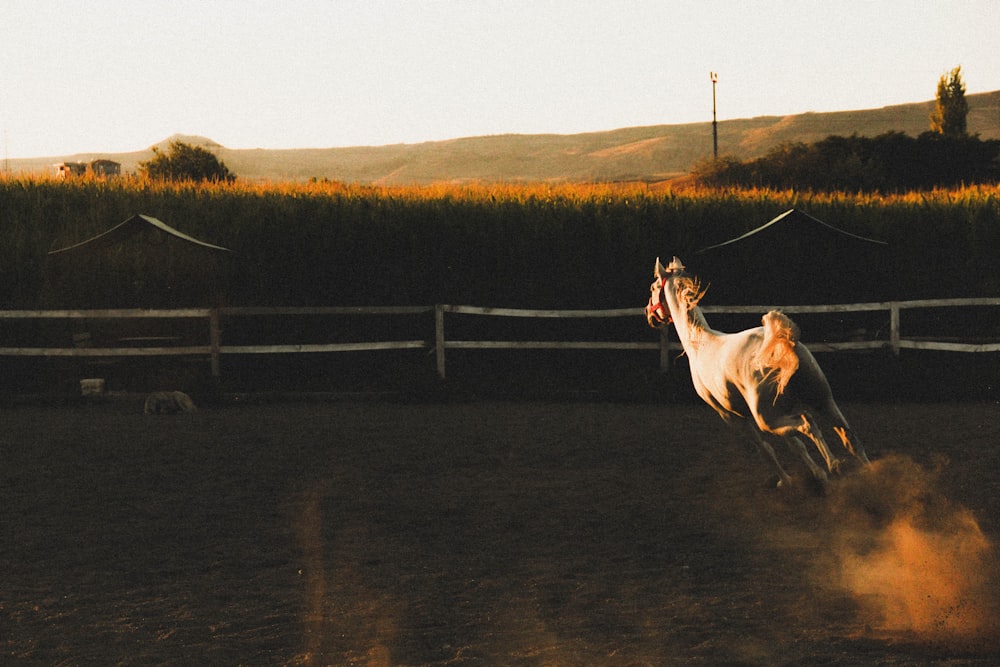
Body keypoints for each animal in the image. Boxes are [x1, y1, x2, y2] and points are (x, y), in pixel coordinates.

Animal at [648, 256, 868, 490]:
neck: (700, 346)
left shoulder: (732, 417)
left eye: (653, 287)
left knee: (808, 424)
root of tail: (783, 346)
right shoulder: (779, 414)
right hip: (823, 401)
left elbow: (766, 449)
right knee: (848, 437)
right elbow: (795, 445)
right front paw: (814, 472)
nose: (648, 313)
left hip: (766, 419)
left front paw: (787, 480)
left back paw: (834, 465)